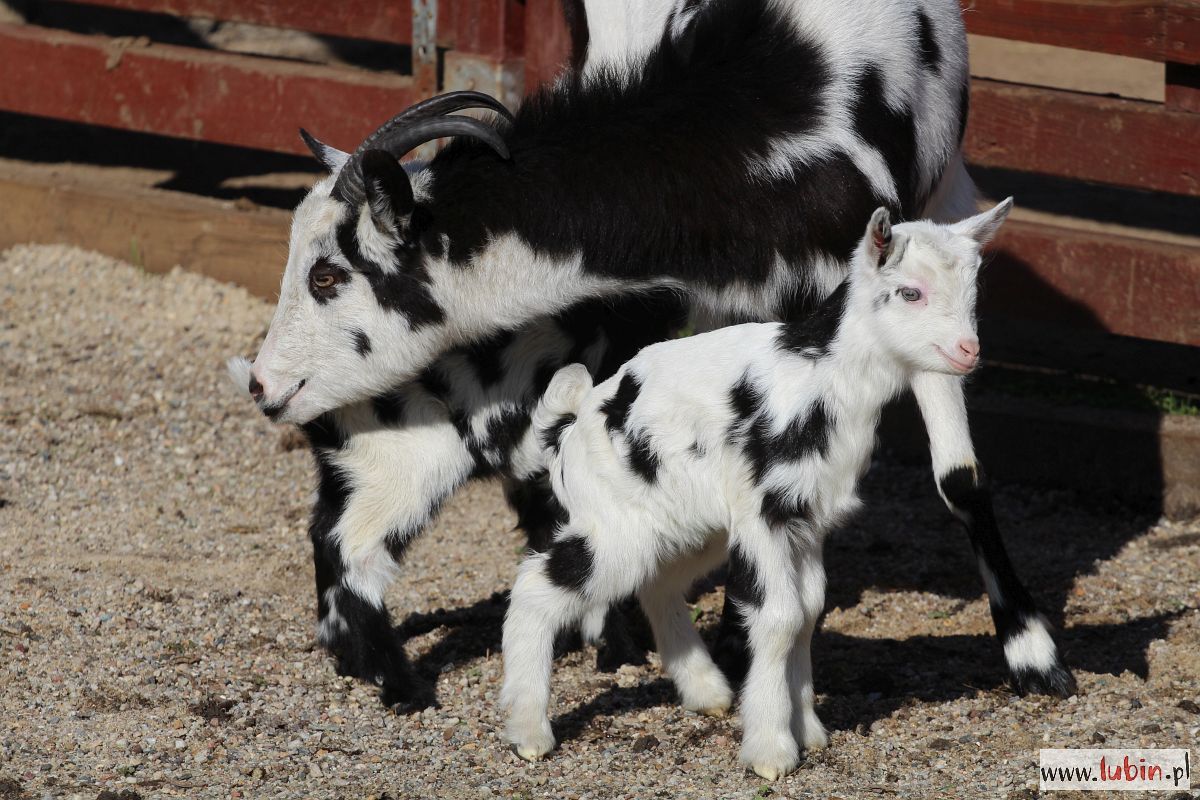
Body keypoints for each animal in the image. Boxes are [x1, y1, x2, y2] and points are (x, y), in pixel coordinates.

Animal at [496, 200, 1012, 782]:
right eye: (910, 292)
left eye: (972, 292)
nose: (968, 351)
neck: (820, 375)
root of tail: (569, 426)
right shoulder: (765, 512)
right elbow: (781, 616)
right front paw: (771, 750)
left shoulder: (806, 518)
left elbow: (809, 611)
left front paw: (807, 730)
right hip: (616, 523)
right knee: (537, 587)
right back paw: (529, 733)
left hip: (690, 527)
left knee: (656, 585)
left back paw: (709, 693)